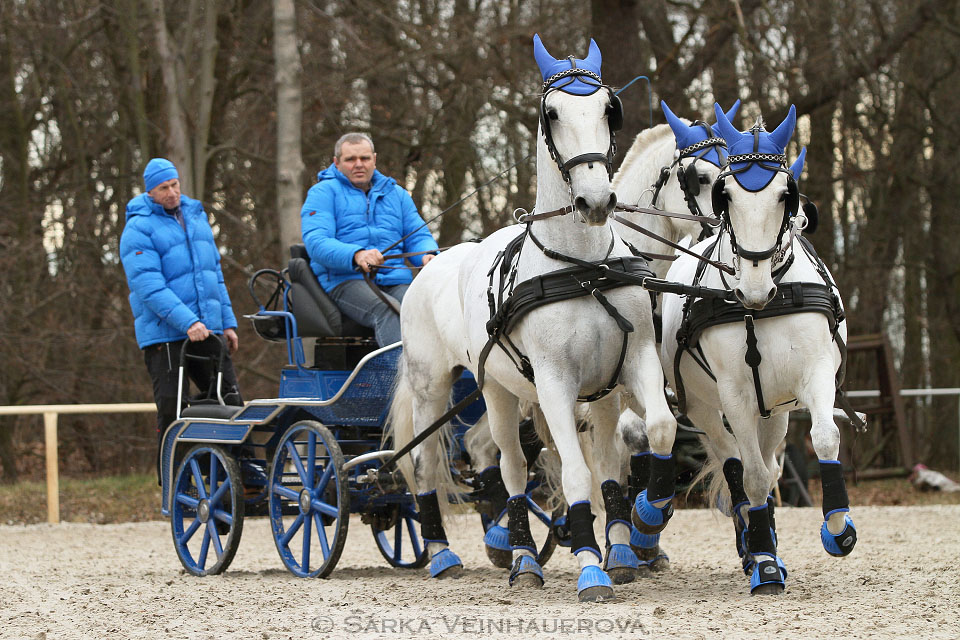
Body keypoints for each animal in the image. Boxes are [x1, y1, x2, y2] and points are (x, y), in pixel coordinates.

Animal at [390, 35, 676, 604]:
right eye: (552, 113)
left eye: (608, 109)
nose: (595, 201)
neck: (583, 269)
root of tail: (433, 267)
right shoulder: (555, 382)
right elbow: (574, 475)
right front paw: (590, 568)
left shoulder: (632, 364)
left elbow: (653, 432)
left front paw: (641, 524)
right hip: (458, 388)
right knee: (480, 465)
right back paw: (483, 556)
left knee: (567, 460)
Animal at [652, 102, 856, 592]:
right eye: (726, 194)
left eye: (787, 195)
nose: (754, 288)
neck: (762, 308)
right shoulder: (735, 395)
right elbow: (756, 479)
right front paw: (764, 562)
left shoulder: (816, 375)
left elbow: (824, 439)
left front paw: (838, 528)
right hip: (706, 409)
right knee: (736, 464)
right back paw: (756, 545)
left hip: (777, 410)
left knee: (769, 458)